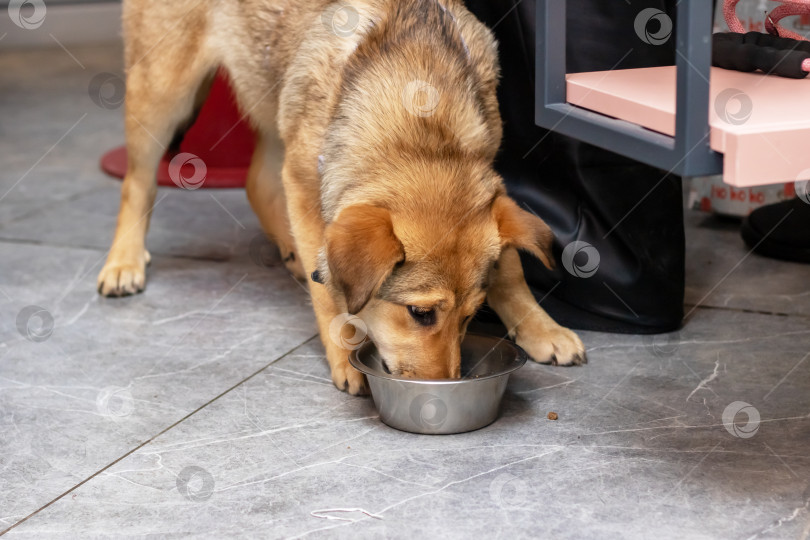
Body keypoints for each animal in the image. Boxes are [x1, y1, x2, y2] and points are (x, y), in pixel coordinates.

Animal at [98, 0, 584, 394]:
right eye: (420, 313)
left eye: (471, 315)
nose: (445, 384)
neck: (423, 129)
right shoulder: (307, 185)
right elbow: (330, 293)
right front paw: (346, 354)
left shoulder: (490, 183)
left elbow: (511, 270)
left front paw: (541, 328)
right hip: (163, 91)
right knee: (138, 182)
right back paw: (123, 262)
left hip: (275, 99)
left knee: (258, 181)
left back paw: (292, 253)